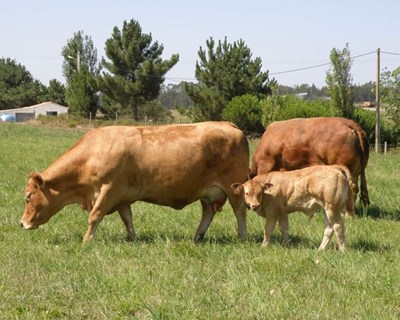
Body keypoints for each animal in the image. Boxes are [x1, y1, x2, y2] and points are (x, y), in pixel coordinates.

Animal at [21, 121, 250, 241]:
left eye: (28, 197)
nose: (22, 223)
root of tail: (229, 125)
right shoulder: (121, 197)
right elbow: (127, 219)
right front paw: (132, 238)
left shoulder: (109, 190)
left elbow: (94, 216)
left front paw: (86, 241)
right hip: (208, 192)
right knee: (208, 212)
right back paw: (197, 237)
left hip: (234, 188)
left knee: (240, 211)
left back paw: (241, 237)